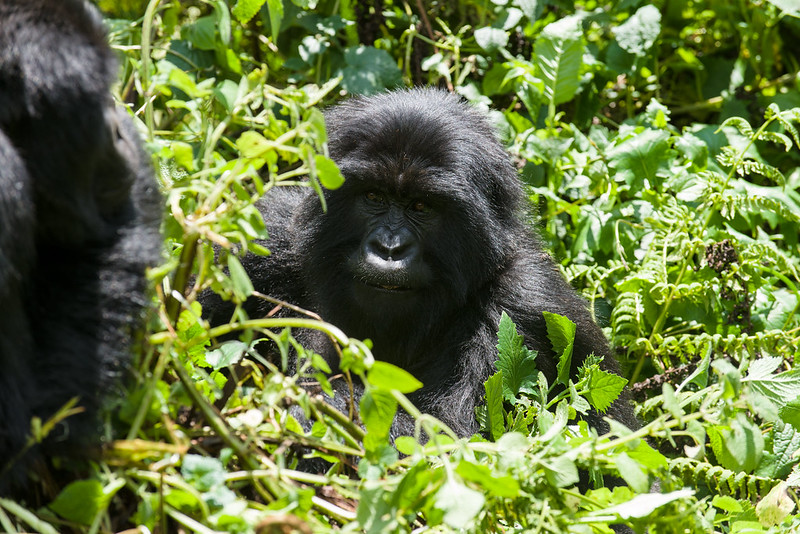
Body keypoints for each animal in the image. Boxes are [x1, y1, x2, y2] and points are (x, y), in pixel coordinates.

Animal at [205, 87, 636, 440]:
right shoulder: (265, 240)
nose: (389, 248)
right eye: (374, 197)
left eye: (420, 206)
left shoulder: (527, 303)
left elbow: (457, 441)